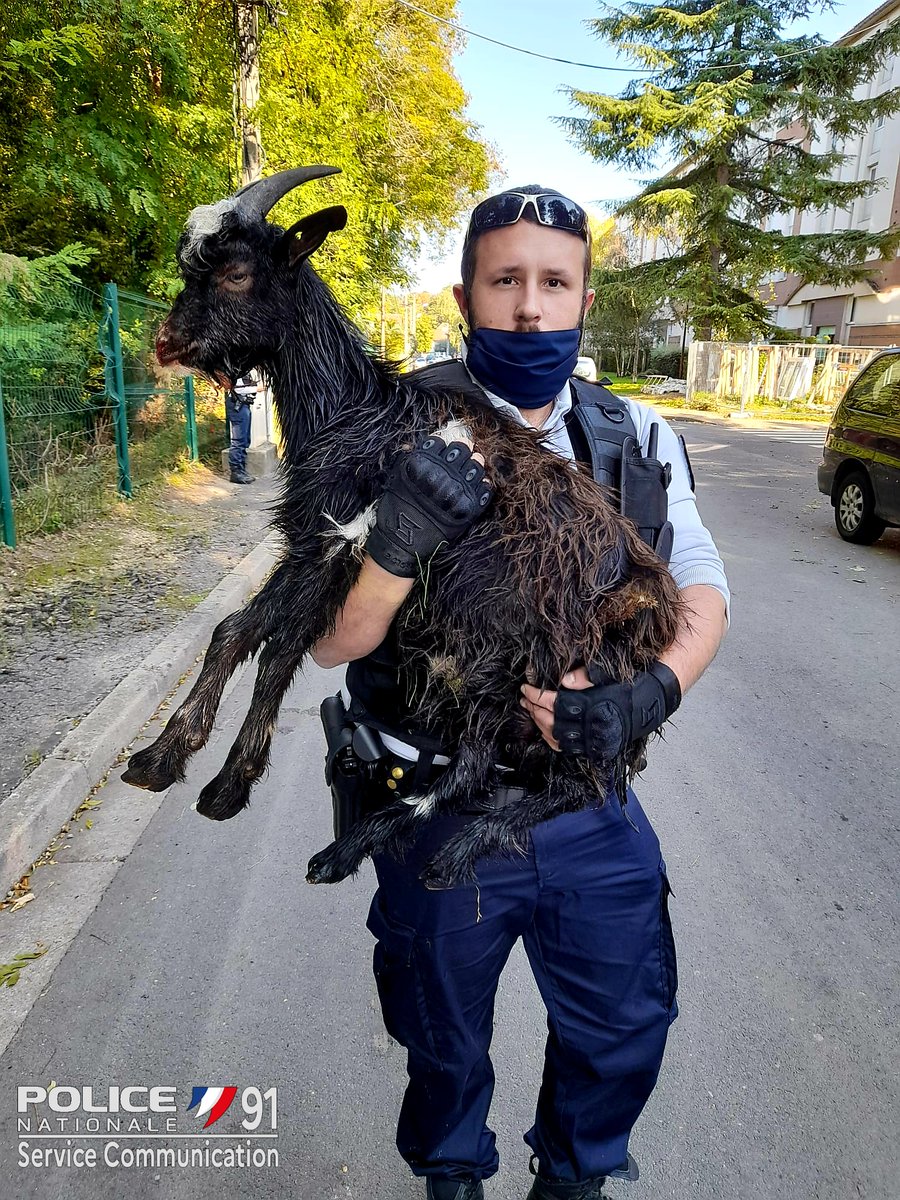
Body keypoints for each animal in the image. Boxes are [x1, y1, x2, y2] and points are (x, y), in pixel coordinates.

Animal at [123, 164, 681, 888]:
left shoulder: (343, 542)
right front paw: (161, 758)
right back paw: (398, 847)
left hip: (549, 679)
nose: (165, 343)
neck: (353, 413)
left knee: (567, 780)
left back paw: (422, 847)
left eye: (238, 273)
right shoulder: (315, 540)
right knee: (497, 770)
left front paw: (228, 783)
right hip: (497, 681)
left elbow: (278, 651)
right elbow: (235, 631)